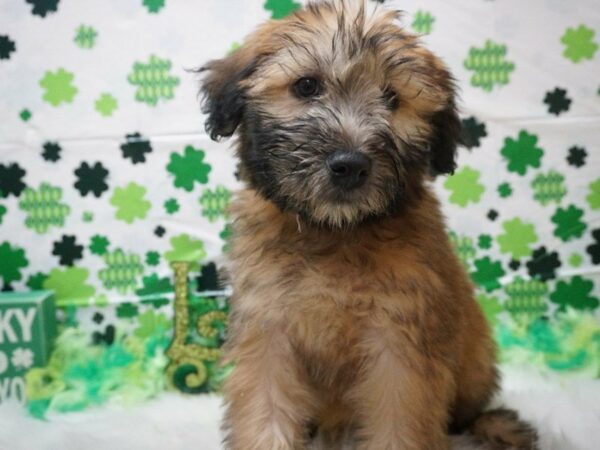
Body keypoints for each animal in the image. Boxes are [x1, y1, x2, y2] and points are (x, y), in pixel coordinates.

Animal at [199, 1, 536, 448]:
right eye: (306, 86)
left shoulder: (400, 343)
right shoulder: (268, 330)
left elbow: (398, 422)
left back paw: (497, 425)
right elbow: (264, 409)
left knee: (466, 414)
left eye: (392, 98)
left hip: (475, 367)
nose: (350, 165)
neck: (333, 233)